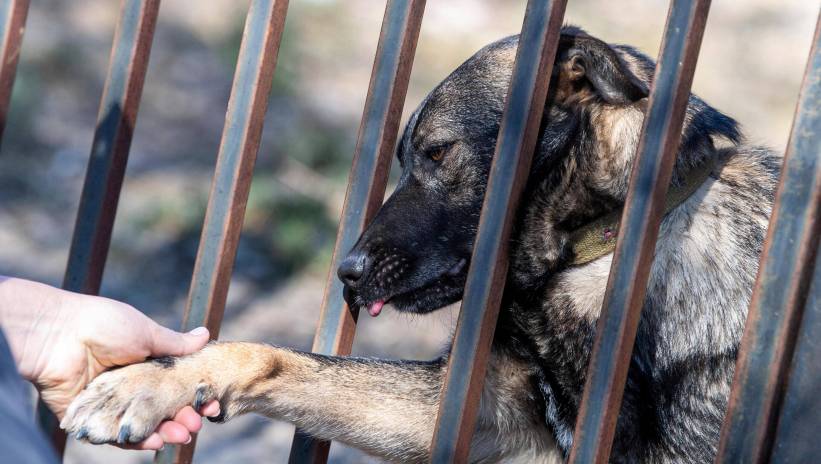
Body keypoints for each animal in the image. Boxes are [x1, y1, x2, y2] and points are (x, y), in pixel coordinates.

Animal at [61, 26, 779, 463]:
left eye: (437, 152)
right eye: (404, 157)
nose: (348, 273)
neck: (597, 247)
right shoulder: (463, 411)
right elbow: (275, 356)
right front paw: (158, 380)